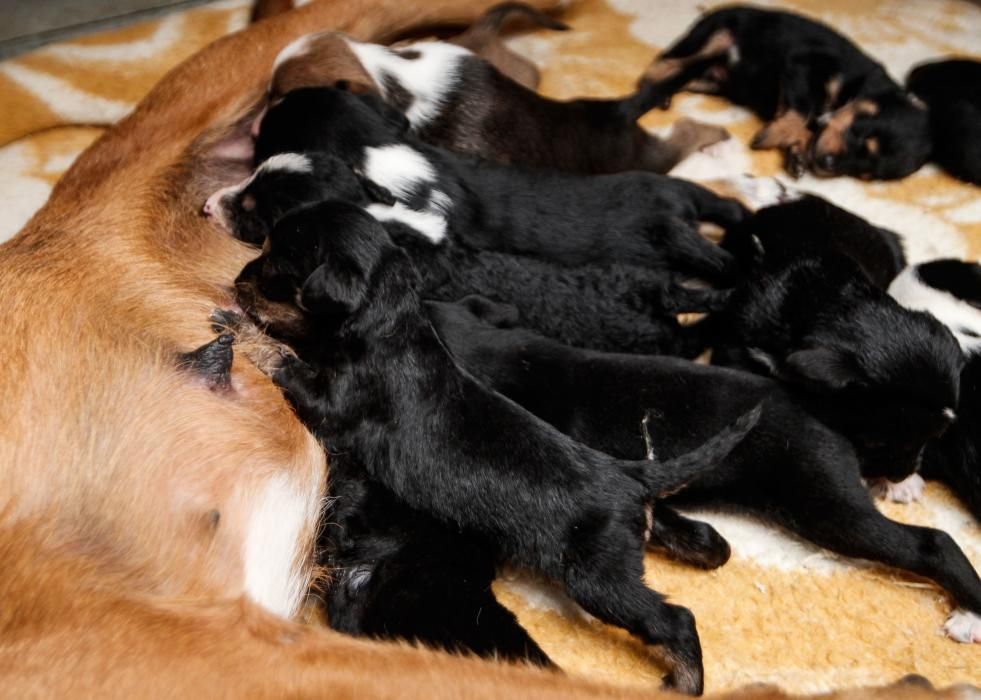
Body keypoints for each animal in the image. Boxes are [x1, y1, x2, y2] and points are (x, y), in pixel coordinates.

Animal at [234, 201, 760, 696]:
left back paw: (684, 682)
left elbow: (287, 365)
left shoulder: (336, 400)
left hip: (598, 577)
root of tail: (635, 478)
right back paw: (707, 551)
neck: (388, 324)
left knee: (675, 619)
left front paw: (243, 331)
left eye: (274, 264)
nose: (237, 283)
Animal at [255, 86, 752, 286]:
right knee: (729, 207)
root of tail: (673, 217)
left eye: (270, 135)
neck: (380, 145)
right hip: (677, 190)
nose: (254, 135)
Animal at [428, 296, 981, 644]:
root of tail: (825, 411)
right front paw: (704, 545)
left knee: (932, 542)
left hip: (825, 501)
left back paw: (969, 611)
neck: (499, 352)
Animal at [636, 5, 928, 179]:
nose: (826, 164)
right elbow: (802, 110)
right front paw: (772, 136)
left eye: (865, 172)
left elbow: (811, 127)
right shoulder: (803, 66)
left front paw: (797, 153)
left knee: (681, 74)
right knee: (663, 64)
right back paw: (657, 89)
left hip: (712, 80)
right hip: (714, 37)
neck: (855, 86)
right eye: (860, 132)